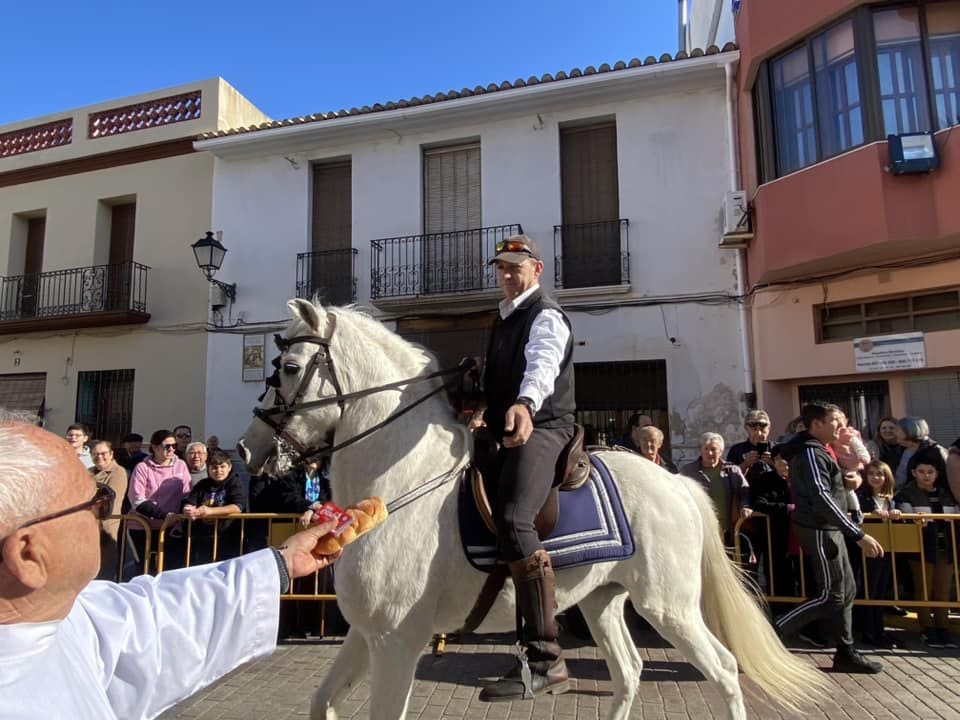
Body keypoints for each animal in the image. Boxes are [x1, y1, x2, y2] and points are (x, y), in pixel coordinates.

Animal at [238, 300, 824, 720]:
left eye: (289, 367)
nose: (247, 449)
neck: (400, 480)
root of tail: (677, 484)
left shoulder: (396, 641)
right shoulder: (365, 635)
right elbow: (323, 703)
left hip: (669, 606)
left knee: (722, 669)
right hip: (602, 599)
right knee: (630, 671)